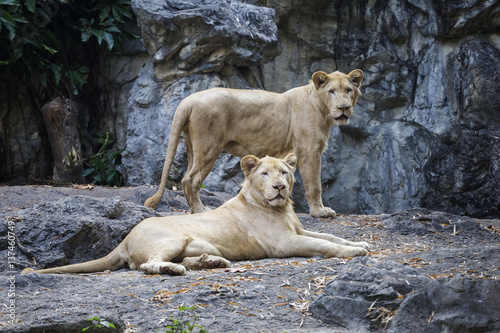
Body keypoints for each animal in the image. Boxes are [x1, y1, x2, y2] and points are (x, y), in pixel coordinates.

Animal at [21, 153, 370, 274]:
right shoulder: (283, 244)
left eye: (284, 172)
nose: (281, 187)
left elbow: (327, 234)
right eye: (265, 174)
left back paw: (210, 262)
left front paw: (361, 245)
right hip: (171, 239)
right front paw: (352, 253)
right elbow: (322, 244)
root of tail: (125, 239)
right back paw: (174, 270)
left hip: (197, 243)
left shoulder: (298, 231)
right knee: (147, 266)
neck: (281, 209)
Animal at [145, 68, 364, 218]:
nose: (343, 108)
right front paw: (320, 212)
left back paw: (194, 210)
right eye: (332, 91)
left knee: (185, 178)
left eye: (348, 90)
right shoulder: (308, 150)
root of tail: (187, 100)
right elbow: (315, 184)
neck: (322, 109)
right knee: (191, 179)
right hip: (209, 146)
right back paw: (201, 210)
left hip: (193, 146)